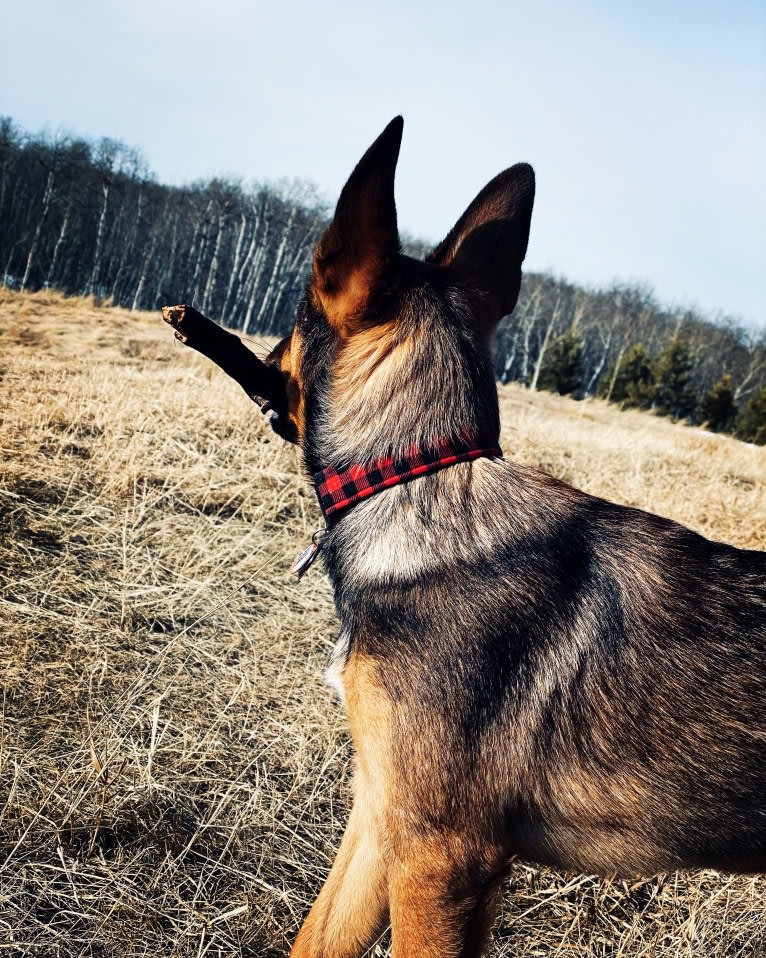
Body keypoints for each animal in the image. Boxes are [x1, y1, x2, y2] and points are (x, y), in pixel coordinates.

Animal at [164, 118, 766, 958]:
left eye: (289, 326)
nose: (193, 323)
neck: (415, 476)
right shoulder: (381, 818)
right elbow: (315, 939)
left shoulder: (440, 858)